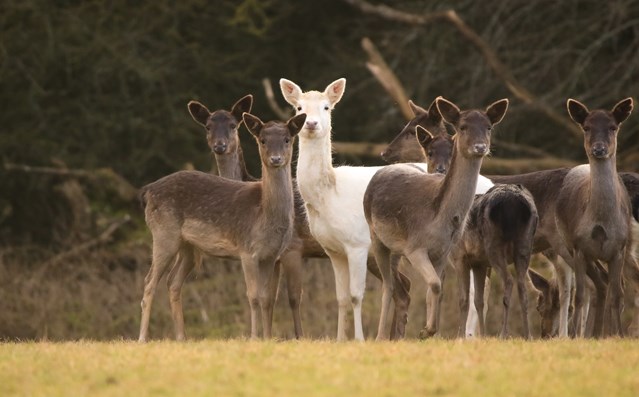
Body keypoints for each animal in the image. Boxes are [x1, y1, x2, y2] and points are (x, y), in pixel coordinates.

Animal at [138, 111, 308, 340]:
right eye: (263, 140)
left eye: (287, 139)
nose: (276, 159)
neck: (264, 216)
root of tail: (147, 191)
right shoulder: (247, 250)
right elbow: (253, 296)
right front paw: (254, 337)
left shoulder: (271, 256)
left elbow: (266, 298)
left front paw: (267, 338)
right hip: (164, 233)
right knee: (149, 282)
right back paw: (142, 339)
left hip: (188, 246)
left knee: (173, 282)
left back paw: (182, 337)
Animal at [364, 96, 510, 338]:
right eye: (462, 127)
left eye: (489, 127)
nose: (481, 147)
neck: (440, 218)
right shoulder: (415, 247)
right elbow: (434, 284)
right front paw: (426, 331)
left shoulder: (443, 251)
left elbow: (437, 288)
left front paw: (429, 330)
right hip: (377, 238)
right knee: (388, 285)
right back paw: (380, 336)